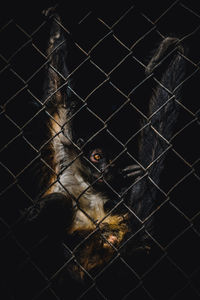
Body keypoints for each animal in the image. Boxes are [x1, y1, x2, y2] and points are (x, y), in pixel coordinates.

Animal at [23, 9, 186, 282]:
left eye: (111, 159)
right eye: (97, 157)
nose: (104, 169)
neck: (89, 183)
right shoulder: (66, 152)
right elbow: (58, 98)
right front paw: (56, 18)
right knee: (58, 203)